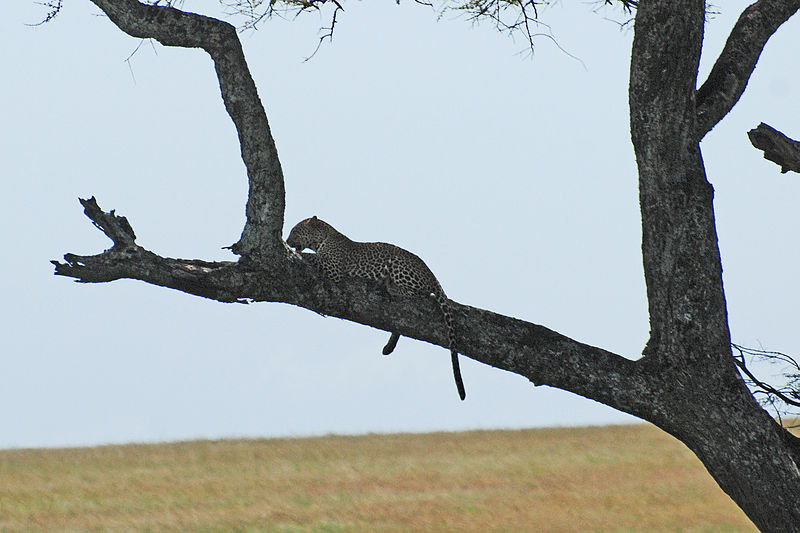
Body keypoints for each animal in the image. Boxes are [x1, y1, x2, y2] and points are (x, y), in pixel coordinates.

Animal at [286, 216, 466, 400]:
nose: (287, 240)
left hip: (398, 264)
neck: (323, 238)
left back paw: (390, 285)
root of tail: (432, 274)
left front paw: (294, 251)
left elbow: (310, 256)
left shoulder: (333, 268)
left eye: (295, 231)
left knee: (421, 294)